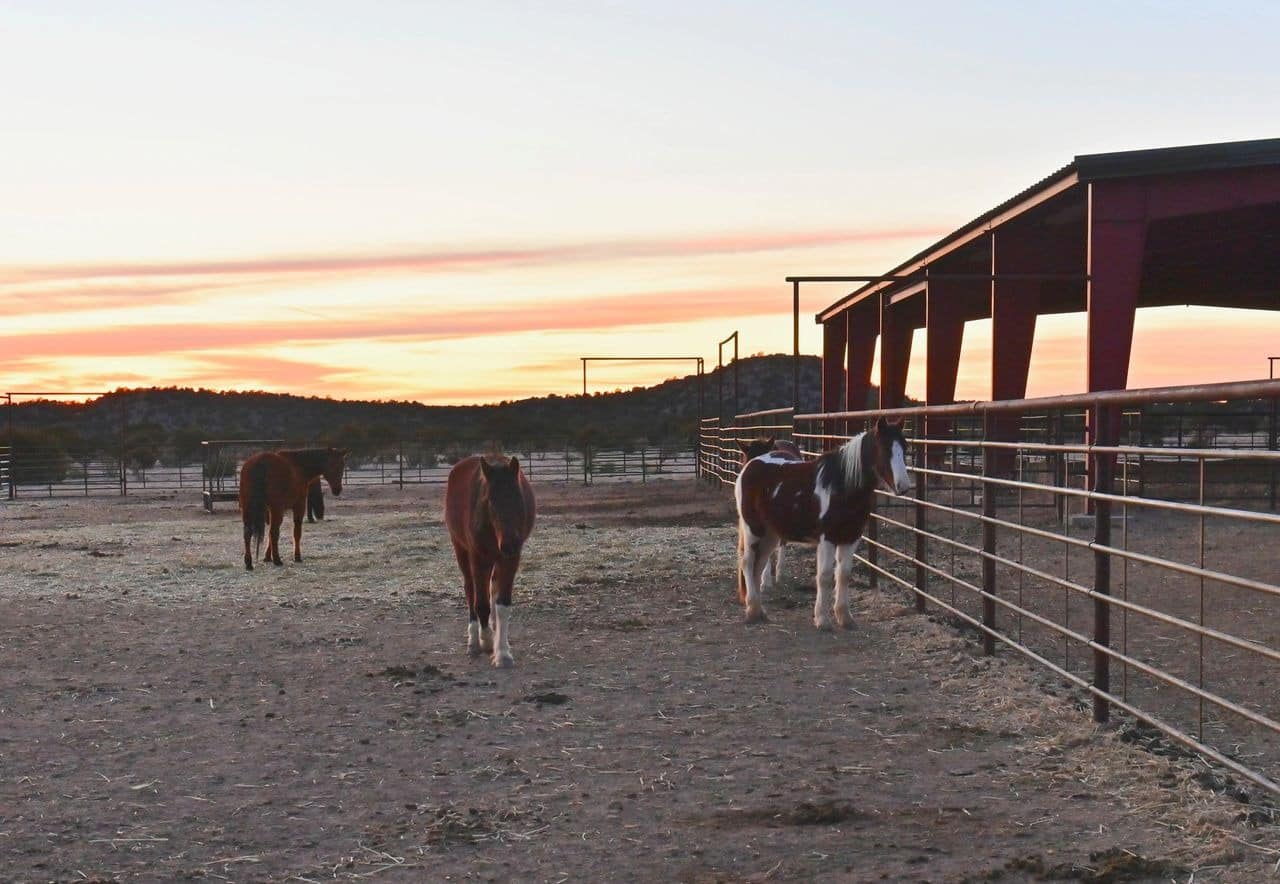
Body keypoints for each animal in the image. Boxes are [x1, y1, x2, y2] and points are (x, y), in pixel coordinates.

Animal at [445, 452, 535, 665]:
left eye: (518, 498)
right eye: (491, 502)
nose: (510, 544)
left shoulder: (510, 560)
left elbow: (502, 604)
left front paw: (502, 652)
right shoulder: (478, 557)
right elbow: (481, 604)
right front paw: (485, 640)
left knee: (491, 589)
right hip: (462, 550)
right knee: (471, 590)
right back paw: (473, 641)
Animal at [732, 419, 911, 629]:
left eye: (904, 447)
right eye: (884, 448)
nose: (904, 487)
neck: (842, 486)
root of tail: (751, 465)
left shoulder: (851, 537)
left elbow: (844, 575)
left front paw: (845, 618)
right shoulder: (828, 538)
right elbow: (825, 576)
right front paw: (823, 620)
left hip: (770, 534)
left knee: (758, 565)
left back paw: (760, 611)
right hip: (753, 528)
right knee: (747, 562)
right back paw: (752, 611)